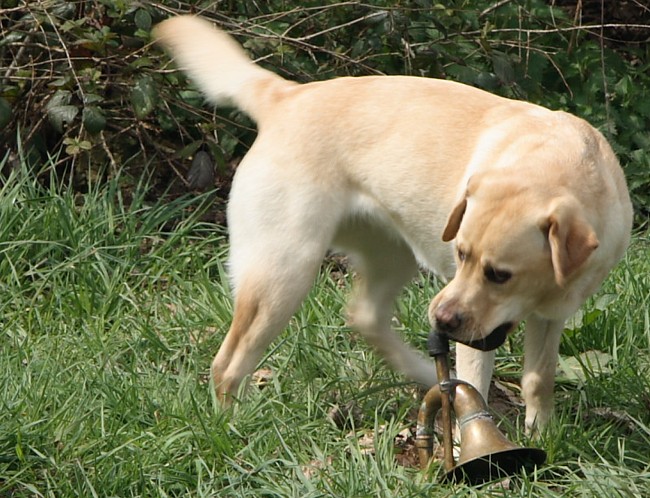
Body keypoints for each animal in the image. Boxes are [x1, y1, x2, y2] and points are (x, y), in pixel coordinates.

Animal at [154, 16, 632, 432]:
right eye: (461, 254)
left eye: (500, 274)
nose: (441, 320)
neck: (569, 168)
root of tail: (286, 96)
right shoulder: (475, 332)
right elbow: (475, 385)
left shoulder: (552, 315)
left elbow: (538, 379)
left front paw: (541, 434)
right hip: (283, 274)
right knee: (227, 363)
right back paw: (232, 427)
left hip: (392, 256)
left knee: (363, 316)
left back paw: (422, 371)